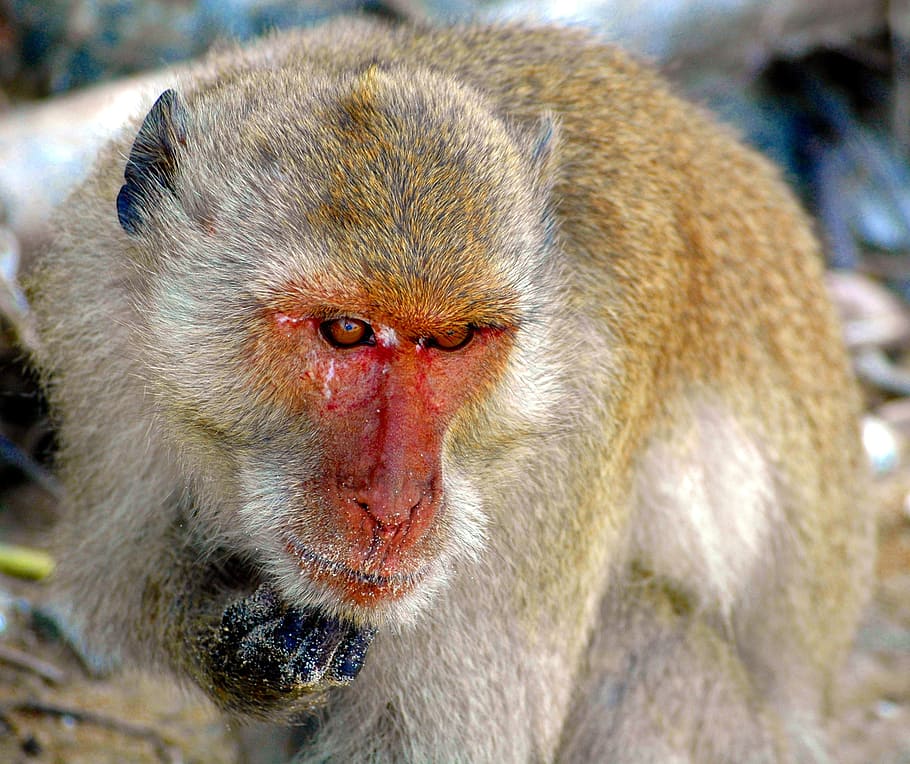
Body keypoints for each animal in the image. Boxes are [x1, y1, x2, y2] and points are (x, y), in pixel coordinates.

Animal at [28, 17, 873, 763]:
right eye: (345, 331)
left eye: (455, 339)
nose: (395, 504)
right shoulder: (101, 322)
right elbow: (121, 580)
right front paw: (246, 650)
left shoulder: (566, 434)